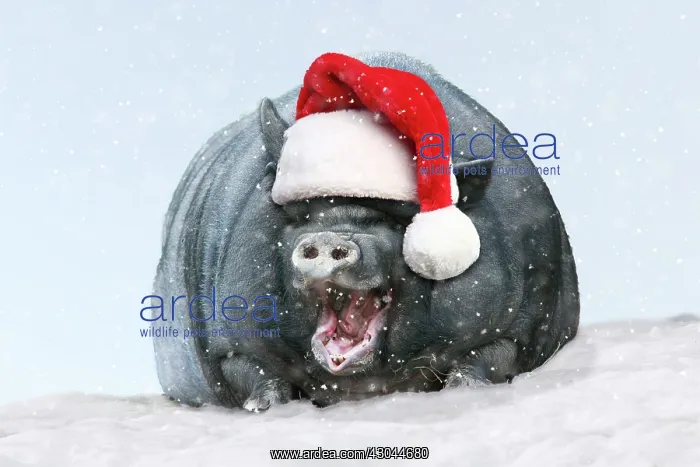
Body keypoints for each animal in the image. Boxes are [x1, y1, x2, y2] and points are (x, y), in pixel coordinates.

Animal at [149, 51, 580, 411]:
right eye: (302, 214)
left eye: (395, 218)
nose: (328, 238)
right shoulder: (227, 338)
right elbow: (251, 368)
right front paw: (263, 407)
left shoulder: (521, 323)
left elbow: (490, 356)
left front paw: (463, 390)